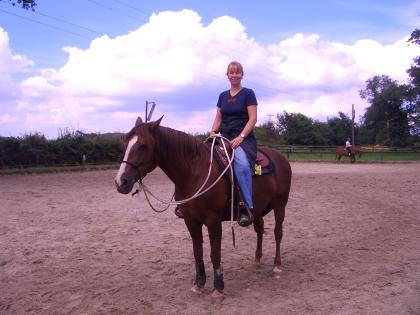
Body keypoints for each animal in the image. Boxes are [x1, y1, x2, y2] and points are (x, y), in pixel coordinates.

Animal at [115, 117, 292, 302]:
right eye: (126, 143)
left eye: (143, 146)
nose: (121, 182)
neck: (194, 172)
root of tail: (280, 157)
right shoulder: (190, 220)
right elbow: (197, 252)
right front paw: (199, 284)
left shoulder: (213, 220)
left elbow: (215, 253)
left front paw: (218, 287)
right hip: (257, 209)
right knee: (259, 229)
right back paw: (257, 259)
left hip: (280, 204)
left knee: (278, 232)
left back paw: (277, 265)